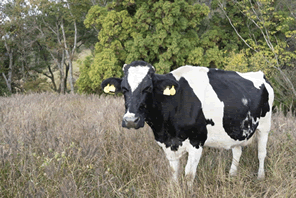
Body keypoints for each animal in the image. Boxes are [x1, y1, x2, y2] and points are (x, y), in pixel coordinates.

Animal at [101, 60, 272, 187]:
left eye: (148, 88)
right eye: (124, 89)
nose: (130, 120)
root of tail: (260, 74)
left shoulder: (197, 141)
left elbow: (189, 174)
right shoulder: (168, 143)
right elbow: (173, 172)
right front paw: (174, 189)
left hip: (265, 126)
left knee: (261, 153)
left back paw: (260, 177)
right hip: (237, 129)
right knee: (237, 152)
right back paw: (231, 176)